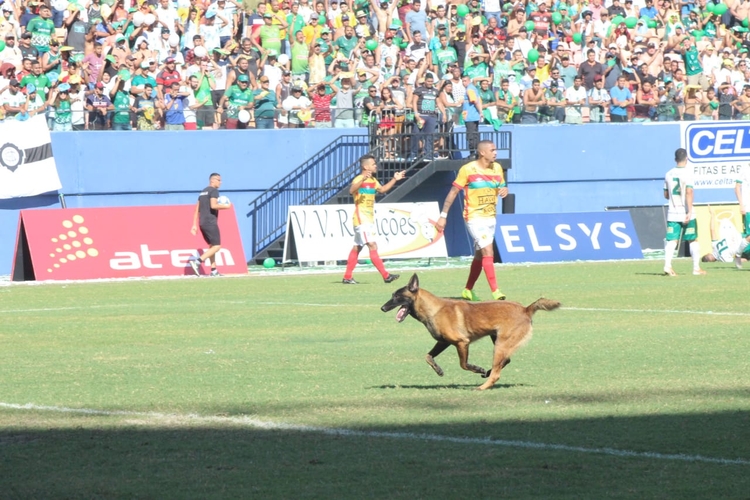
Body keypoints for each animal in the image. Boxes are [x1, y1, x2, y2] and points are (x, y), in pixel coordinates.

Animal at [382, 274, 564, 390]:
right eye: (392, 295)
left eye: (397, 297)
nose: (382, 308)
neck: (433, 309)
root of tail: (526, 309)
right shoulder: (443, 342)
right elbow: (428, 356)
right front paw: (438, 369)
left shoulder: (462, 343)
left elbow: (464, 364)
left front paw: (478, 369)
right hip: (497, 340)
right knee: (504, 362)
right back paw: (488, 374)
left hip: (500, 345)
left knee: (497, 372)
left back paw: (482, 386)